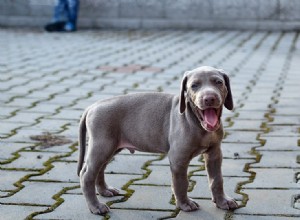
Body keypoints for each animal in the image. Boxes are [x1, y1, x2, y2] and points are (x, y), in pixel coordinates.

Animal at [78, 66, 239, 214]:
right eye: (194, 85)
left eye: (218, 82)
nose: (209, 98)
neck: (197, 123)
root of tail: (92, 106)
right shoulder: (178, 157)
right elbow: (181, 182)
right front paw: (185, 204)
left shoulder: (214, 153)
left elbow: (217, 179)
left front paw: (222, 201)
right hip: (102, 144)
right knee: (87, 175)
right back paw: (95, 206)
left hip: (111, 146)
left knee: (100, 169)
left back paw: (105, 190)